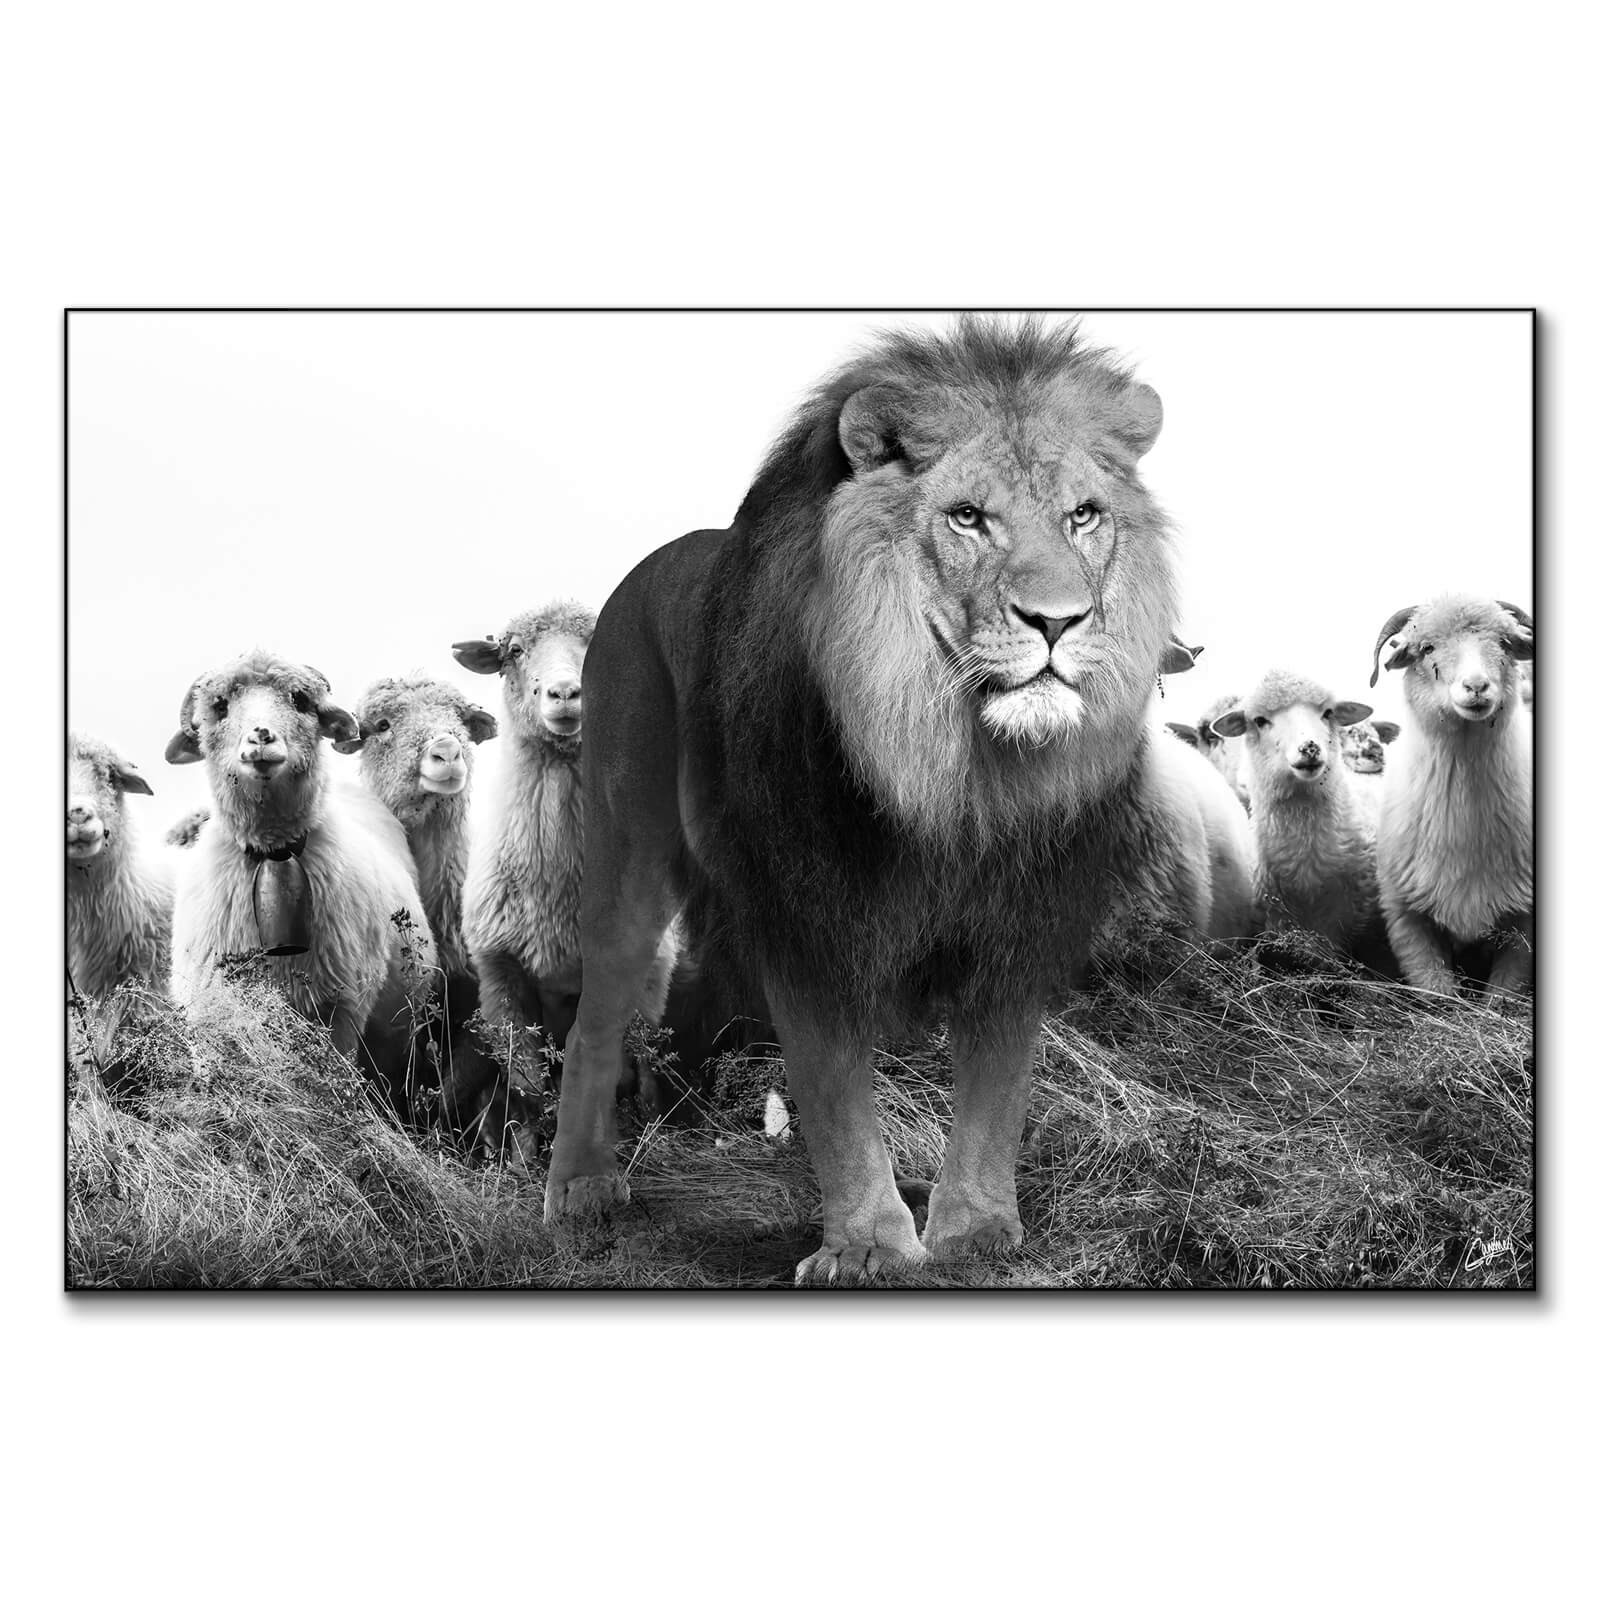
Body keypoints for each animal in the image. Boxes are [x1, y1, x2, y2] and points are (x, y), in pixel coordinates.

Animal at [163, 650, 439, 1099]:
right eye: (219, 707)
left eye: (300, 700)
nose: (261, 736)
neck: (273, 850)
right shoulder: (209, 1016)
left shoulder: (341, 1011)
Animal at [542, 315, 1182, 1282]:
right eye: (968, 517)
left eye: (1084, 515)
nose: (1060, 621)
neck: (955, 771)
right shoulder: (808, 911)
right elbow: (836, 1092)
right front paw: (870, 1247)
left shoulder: (1017, 918)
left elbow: (998, 1084)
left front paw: (974, 1234)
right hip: (628, 844)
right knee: (596, 1012)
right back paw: (580, 1187)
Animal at [1368, 596, 1533, 997]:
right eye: (1426, 648)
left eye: (1505, 643)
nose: (1476, 686)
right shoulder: (1406, 918)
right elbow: (1440, 997)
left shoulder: (1523, 925)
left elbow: (1500, 1000)